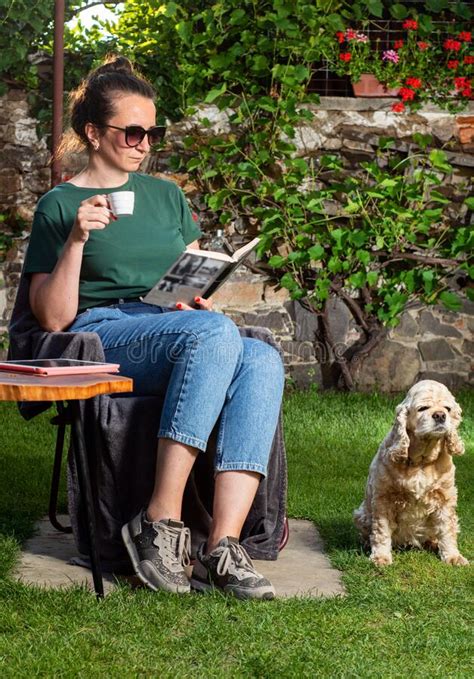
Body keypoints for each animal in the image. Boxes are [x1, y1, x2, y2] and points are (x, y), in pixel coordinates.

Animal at [354, 380, 468, 564]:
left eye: (447, 408)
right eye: (423, 408)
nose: (440, 415)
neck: (421, 461)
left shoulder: (445, 498)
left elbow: (447, 529)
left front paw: (453, 557)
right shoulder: (383, 498)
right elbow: (381, 530)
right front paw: (380, 557)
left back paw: (433, 543)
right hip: (361, 514)